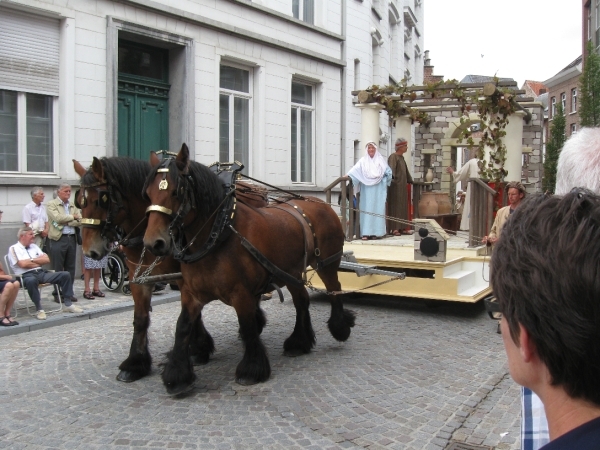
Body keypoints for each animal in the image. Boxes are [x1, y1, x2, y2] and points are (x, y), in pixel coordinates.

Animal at [142, 143, 354, 394]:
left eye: (176, 192)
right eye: (148, 194)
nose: (153, 243)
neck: (219, 233)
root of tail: (321, 204)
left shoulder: (241, 293)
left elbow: (247, 326)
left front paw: (251, 369)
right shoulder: (191, 293)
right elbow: (182, 327)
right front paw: (177, 375)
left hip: (327, 264)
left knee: (334, 289)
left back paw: (339, 327)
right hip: (291, 273)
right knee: (302, 300)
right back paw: (299, 342)